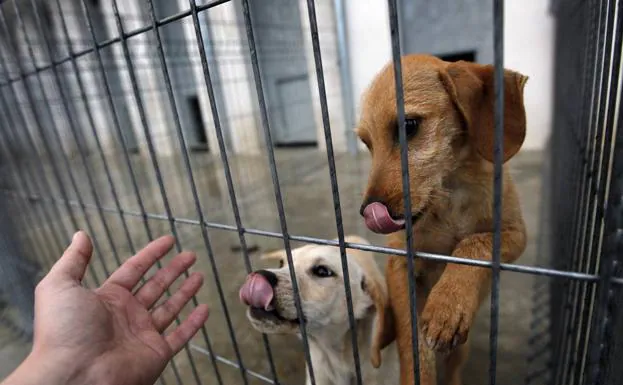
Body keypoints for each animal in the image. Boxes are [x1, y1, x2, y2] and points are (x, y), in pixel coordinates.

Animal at [356, 54, 528, 384]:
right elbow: (412, 342)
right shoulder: (400, 262)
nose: (367, 211)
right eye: (367, 144)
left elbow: (473, 243)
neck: (450, 194)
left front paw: (447, 306)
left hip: (460, 352)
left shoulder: (514, 234)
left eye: (408, 125)